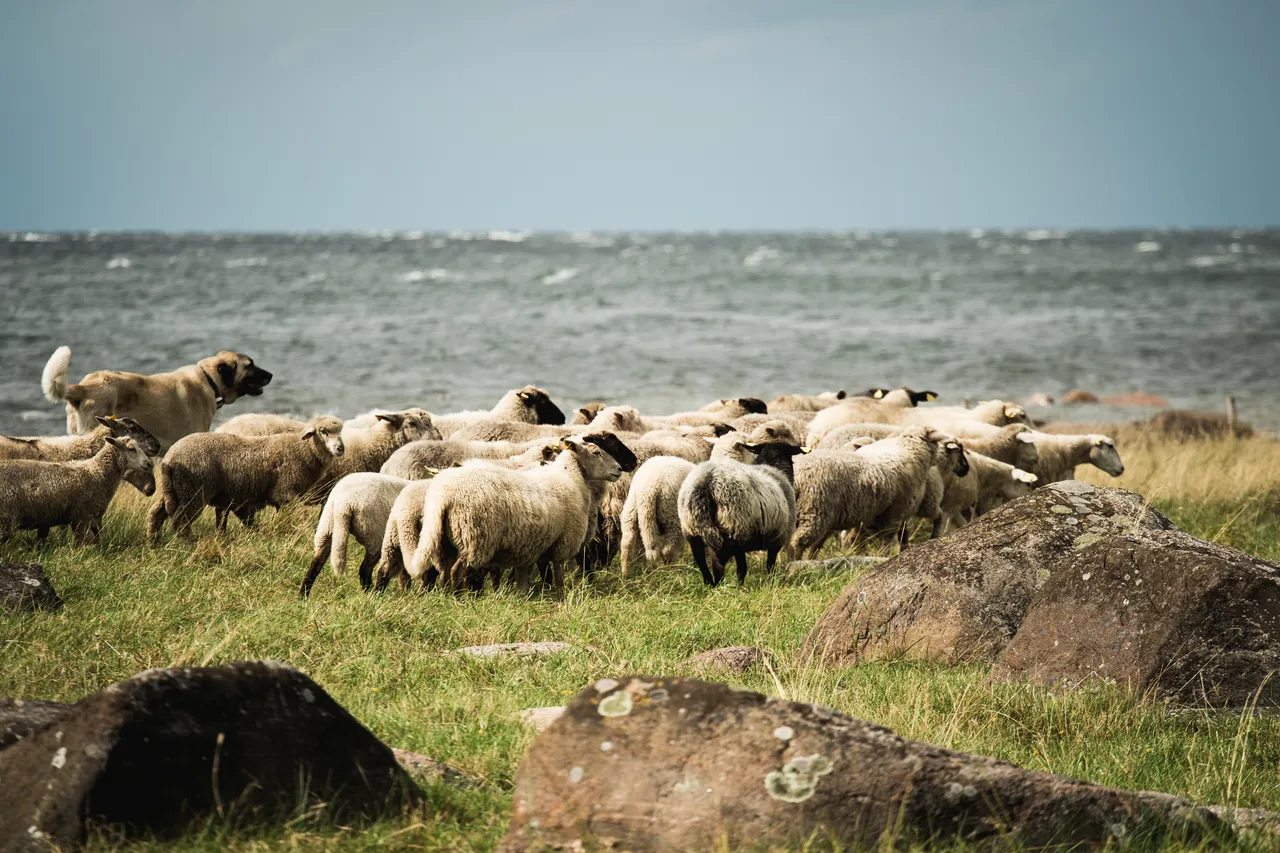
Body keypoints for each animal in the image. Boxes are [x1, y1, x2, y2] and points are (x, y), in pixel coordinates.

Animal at [0, 436, 153, 545]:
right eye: (131, 448)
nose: (149, 463)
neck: (96, 472)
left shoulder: (88, 519)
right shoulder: (80, 517)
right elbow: (80, 544)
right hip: (6, 519)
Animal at [147, 414, 345, 541]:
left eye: (340, 432)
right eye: (323, 431)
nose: (340, 448)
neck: (302, 450)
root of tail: (169, 457)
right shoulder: (285, 494)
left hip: (174, 490)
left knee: (156, 513)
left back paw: (154, 540)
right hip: (193, 492)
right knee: (180, 520)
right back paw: (186, 543)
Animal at [407, 435, 623, 593]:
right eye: (596, 452)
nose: (619, 469)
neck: (569, 477)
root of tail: (443, 495)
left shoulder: (531, 549)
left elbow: (526, 578)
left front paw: (526, 596)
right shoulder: (562, 543)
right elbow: (558, 574)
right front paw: (560, 596)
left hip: (447, 539)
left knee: (445, 571)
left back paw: (447, 596)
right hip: (474, 537)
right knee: (457, 571)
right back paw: (460, 598)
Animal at [677, 439, 804, 586]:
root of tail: (707, 480)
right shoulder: (778, 538)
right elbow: (770, 567)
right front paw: (772, 584)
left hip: (692, 531)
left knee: (701, 562)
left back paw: (710, 585)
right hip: (736, 530)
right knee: (723, 566)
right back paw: (726, 587)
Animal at [790, 427, 945, 559]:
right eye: (936, 443)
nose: (938, 460)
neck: (909, 453)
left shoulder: (875, 516)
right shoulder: (895, 512)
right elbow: (887, 540)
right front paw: (883, 557)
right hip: (813, 512)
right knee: (796, 543)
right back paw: (794, 565)